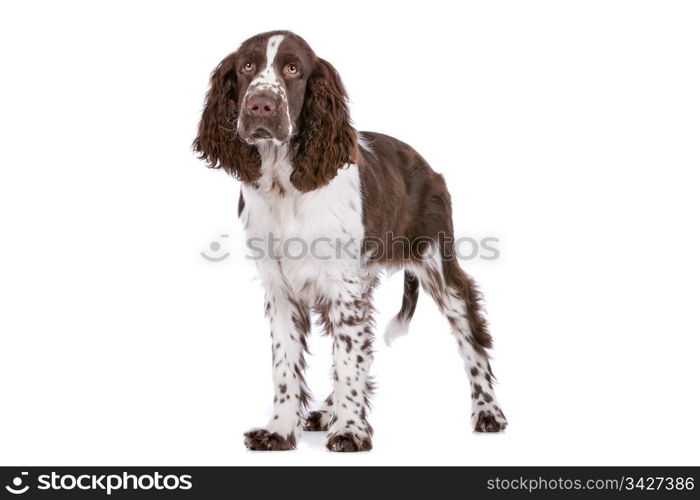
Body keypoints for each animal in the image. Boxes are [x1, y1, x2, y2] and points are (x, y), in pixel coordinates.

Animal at [194, 31, 506, 454]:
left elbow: (347, 361)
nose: (260, 104)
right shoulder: (282, 288)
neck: (284, 183)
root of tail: (427, 167)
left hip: (438, 264)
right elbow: (287, 365)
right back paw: (328, 411)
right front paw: (280, 430)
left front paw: (350, 431)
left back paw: (488, 412)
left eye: (293, 69)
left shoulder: (344, 287)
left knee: (470, 334)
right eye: (246, 67)